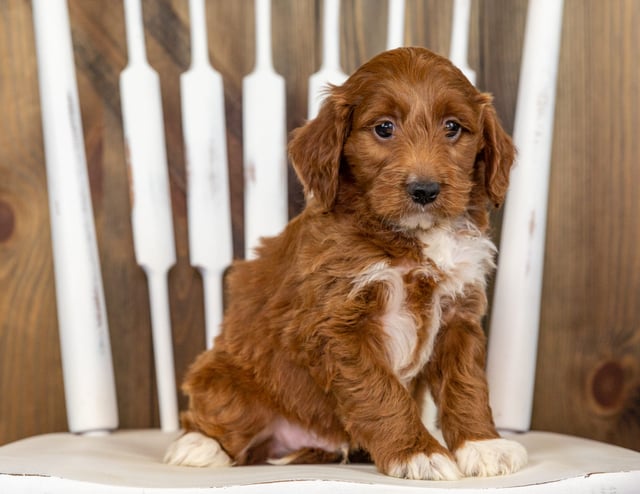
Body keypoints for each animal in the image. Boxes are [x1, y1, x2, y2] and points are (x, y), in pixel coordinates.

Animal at [164, 46, 524, 478]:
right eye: (384, 128)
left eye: (453, 127)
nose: (424, 190)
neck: (409, 237)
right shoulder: (338, 324)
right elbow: (381, 392)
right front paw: (418, 453)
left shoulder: (459, 315)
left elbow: (466, 383)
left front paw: (482, 445)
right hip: (225, 377)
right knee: (219, 412)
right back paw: (199, 445)